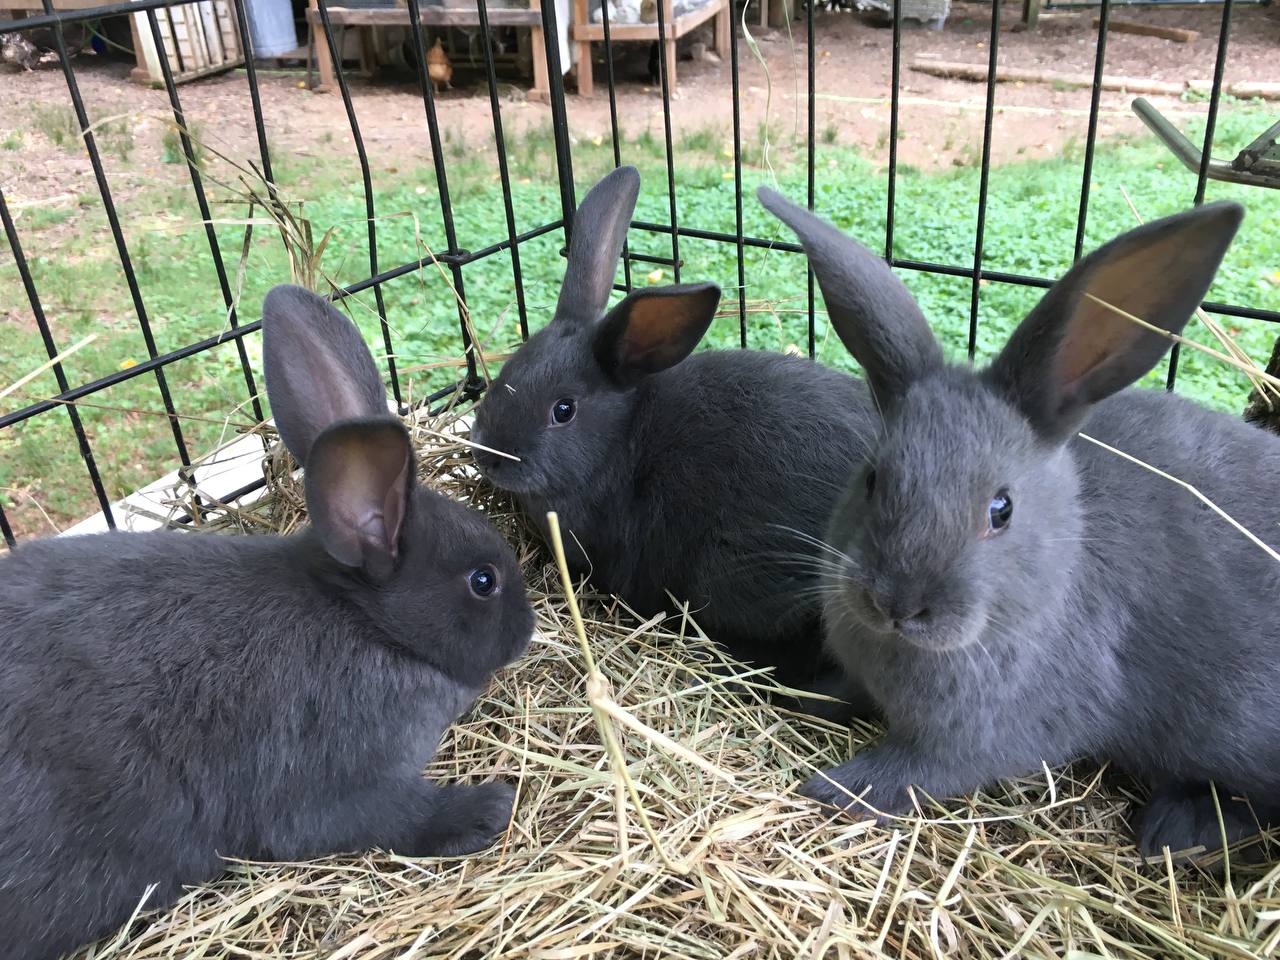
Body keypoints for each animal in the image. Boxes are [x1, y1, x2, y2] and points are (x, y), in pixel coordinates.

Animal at [0, 285, 536, 960]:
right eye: (483, 581)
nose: (529, 627)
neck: (367, 624)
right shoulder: (336, 778)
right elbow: (392, 817)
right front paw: (489, 806)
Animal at [760, 185, 1280, 860]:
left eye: (1000, 510)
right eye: (873, 478)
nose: (896, 604)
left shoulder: (992, 733)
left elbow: (917, 768)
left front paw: (832, 787)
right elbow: (842, 692)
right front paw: (800, 692)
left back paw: (1178, 827)